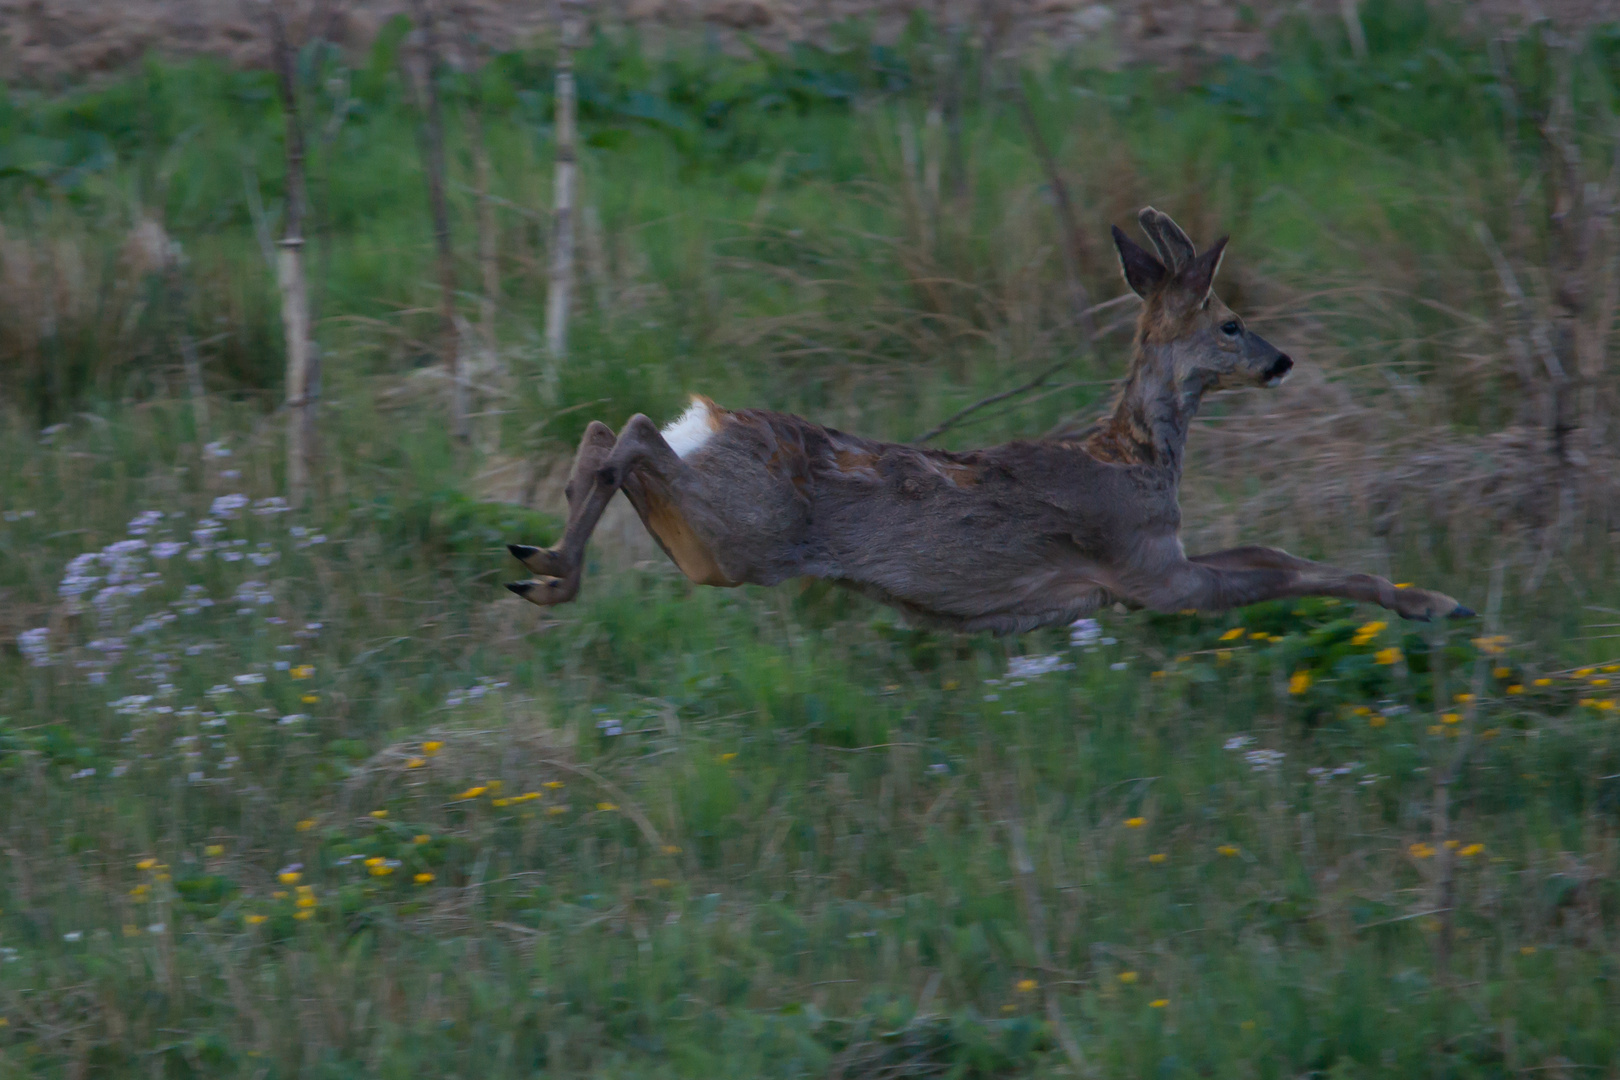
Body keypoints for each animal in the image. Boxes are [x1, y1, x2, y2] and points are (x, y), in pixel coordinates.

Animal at [505, 208, 1470, 634]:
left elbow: (1269, 552)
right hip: (748, 533)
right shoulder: (1146, 572)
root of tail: (709, 418)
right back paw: (549, 569)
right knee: (632, 431)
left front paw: (1430, 596)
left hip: (710, 547)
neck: (1137, 458)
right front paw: (1434, 599)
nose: (1282, 361)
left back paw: (539, 560)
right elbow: (1278, 568)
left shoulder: (1153, 563)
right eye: (1230, 321)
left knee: (614, 436)